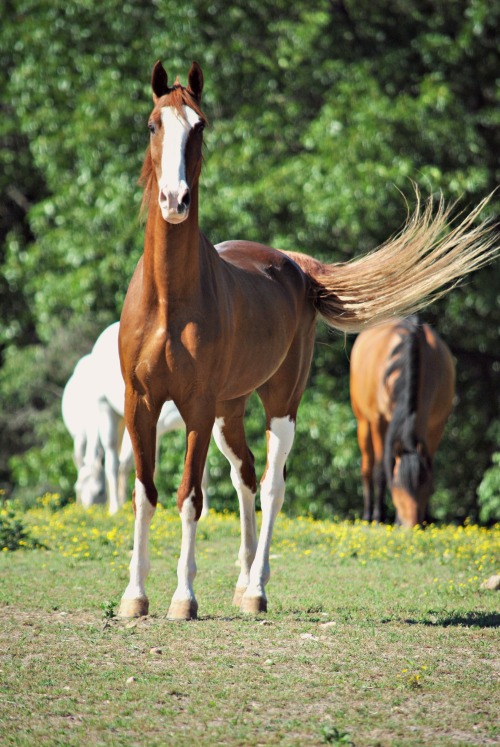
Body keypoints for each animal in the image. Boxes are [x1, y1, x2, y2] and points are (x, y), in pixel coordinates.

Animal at [61, 322, 209, 516]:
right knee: (112, 461)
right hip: (106, 410)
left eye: (98, 492)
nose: (87, 508)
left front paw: (205, 513)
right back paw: (115, 508)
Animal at [350, 316, 456, 524]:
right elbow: (380, 469)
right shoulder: (378, 421)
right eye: (397, 486)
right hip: (363, 422)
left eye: (424, 487)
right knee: (367, 465)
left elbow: (430, 464)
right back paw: (368, 514)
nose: (412, 524)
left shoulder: (436, 426)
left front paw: (427, 517)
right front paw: (378, 516)